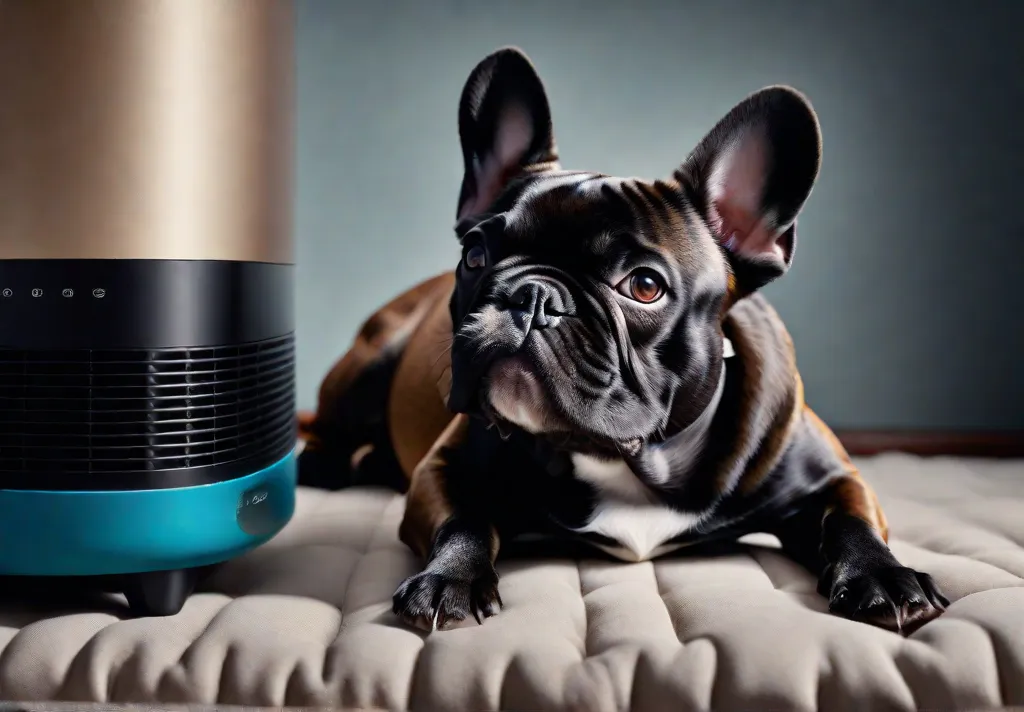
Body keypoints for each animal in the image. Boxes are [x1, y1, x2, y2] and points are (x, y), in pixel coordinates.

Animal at [299, 45, 950, 635]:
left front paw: (884, 576)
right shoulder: (443, 469)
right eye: (475, 255)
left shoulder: (837, 479)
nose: (533, 295)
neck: (632, 461)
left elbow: (850, 522)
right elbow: (465, 521)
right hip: (369, 364)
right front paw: (448, 580)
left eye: (643, 286)